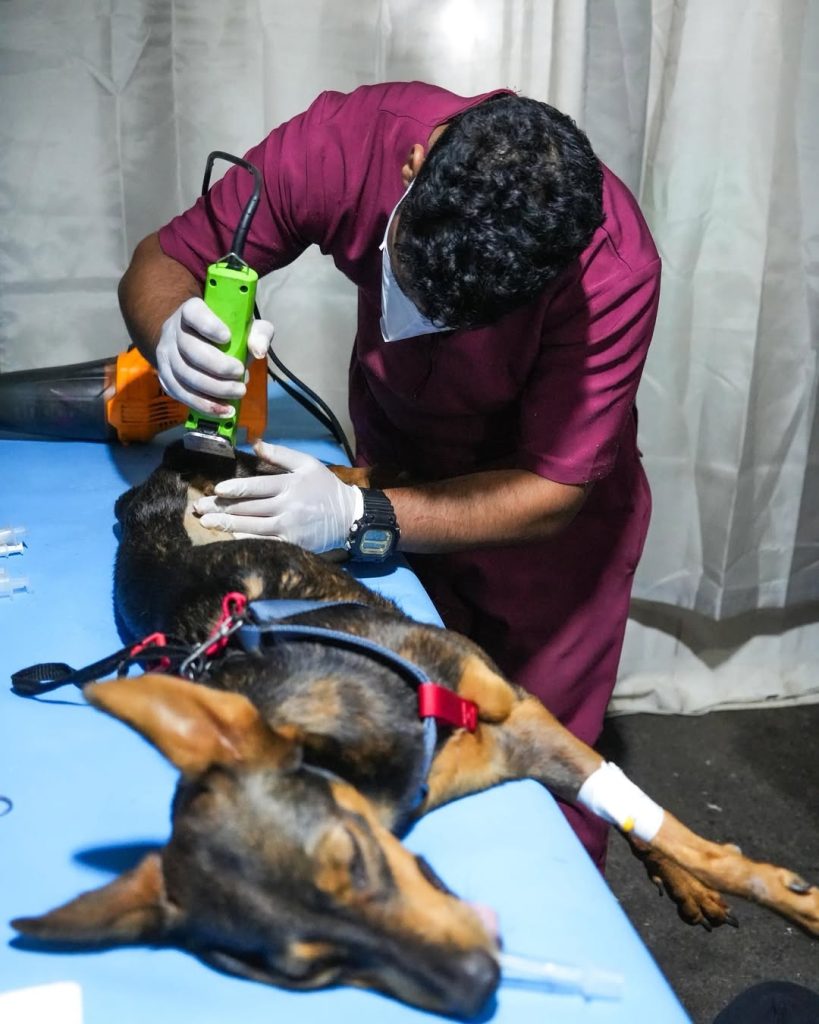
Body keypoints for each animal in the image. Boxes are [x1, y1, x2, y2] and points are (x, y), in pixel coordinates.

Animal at [12, 441, 819, 1018]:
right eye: (312, 970)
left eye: (352, 857)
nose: (476, 983)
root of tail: (157, 483)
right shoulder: (513, 741)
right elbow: (637, 815)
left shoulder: (517, 706)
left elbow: (675, 834)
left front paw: (785, 901)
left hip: (253, 475)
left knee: (330, 470)